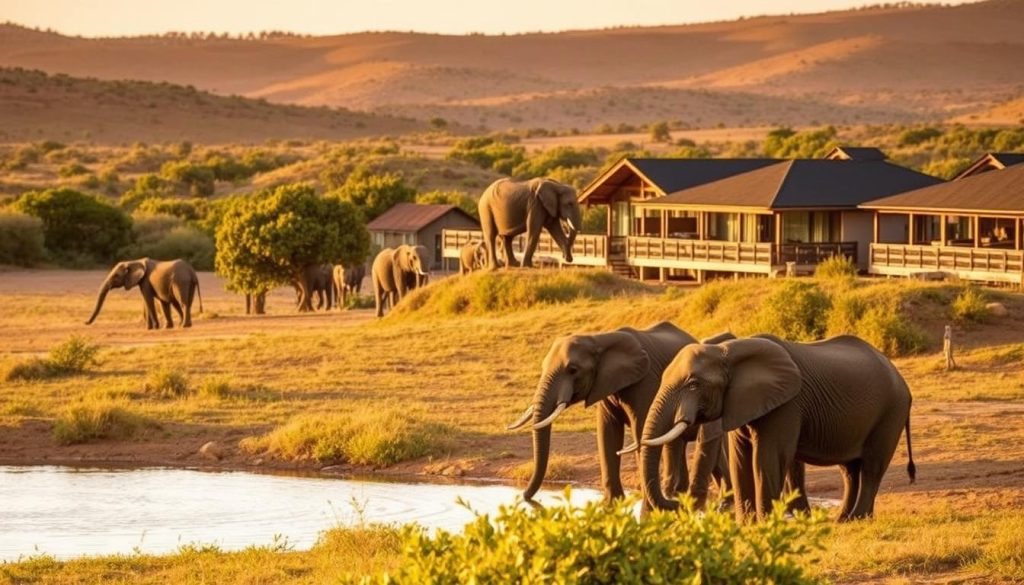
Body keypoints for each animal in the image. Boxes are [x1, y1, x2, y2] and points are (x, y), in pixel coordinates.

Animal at [506, 322, 729, 510]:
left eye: (573, 370)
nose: (526, 497)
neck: (599, 340)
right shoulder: (605, 384)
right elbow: (607, 432)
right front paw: (613, 503)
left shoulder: (645, 383)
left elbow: (639, 429)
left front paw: (647, 507)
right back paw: (678, 494)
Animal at [638, 334, 916, 521]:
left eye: (694, 384)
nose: (674, 503)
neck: (728, 352)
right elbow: (741, 459)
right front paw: (747, 525)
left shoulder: (786, 405)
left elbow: (768, 457)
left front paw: (765, 524)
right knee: (850, 470)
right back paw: (844, 520)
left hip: (890, 412)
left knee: (871, 467)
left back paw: (857, 518)